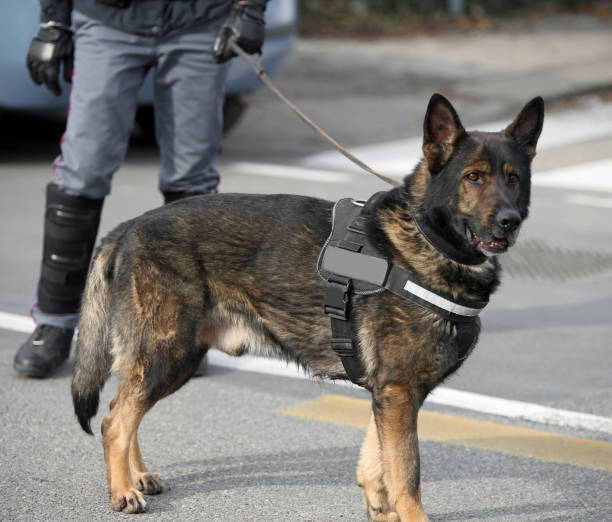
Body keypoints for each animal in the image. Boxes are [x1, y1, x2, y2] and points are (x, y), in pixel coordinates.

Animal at [71, 92, 544, 516]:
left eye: (514, 179)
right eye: (474, 177)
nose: (509, 221)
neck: (425, 236)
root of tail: (129, 226)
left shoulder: (390, 395)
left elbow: (376, 465)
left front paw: (378, 507)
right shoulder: (398, 393)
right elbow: (407, 478)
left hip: (174, 358)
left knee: (122, 407)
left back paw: (136, 476)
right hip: (167, 352)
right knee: (115, 421)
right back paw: (123, 491)